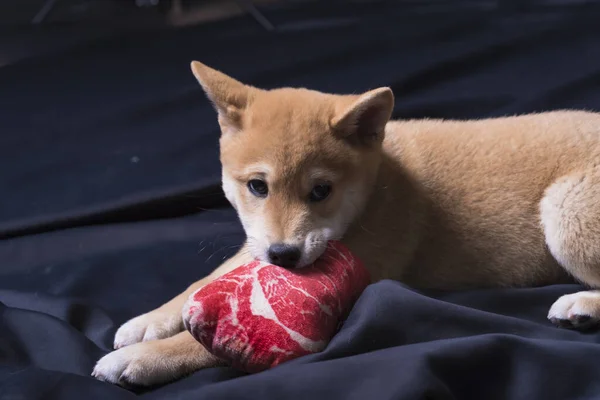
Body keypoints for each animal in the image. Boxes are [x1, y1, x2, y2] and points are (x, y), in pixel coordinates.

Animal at [92, 61, 600, 386]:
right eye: (257, 187)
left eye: (321, 191)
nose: (284, 256)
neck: (378, 184)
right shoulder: (256, 243)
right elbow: (206, 280)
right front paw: (149, 322)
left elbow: (207, 343)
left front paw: (142, 358)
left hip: (565, 213)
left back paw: (582, 306)